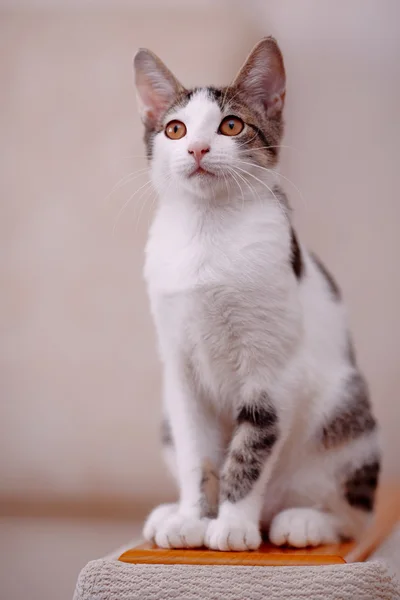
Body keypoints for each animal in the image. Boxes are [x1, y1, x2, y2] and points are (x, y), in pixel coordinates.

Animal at [133, 37, 380, 552]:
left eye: (231, 125)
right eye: (174, 129)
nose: (197, 147)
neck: (207, 230)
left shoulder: (273, 372)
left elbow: (251, 449)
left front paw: (231, 525)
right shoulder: (180, 371)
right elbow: (195, 451)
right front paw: (193, 518)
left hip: (347, 413)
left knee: (353, 517)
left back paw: (303, 522)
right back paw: (171, 512)